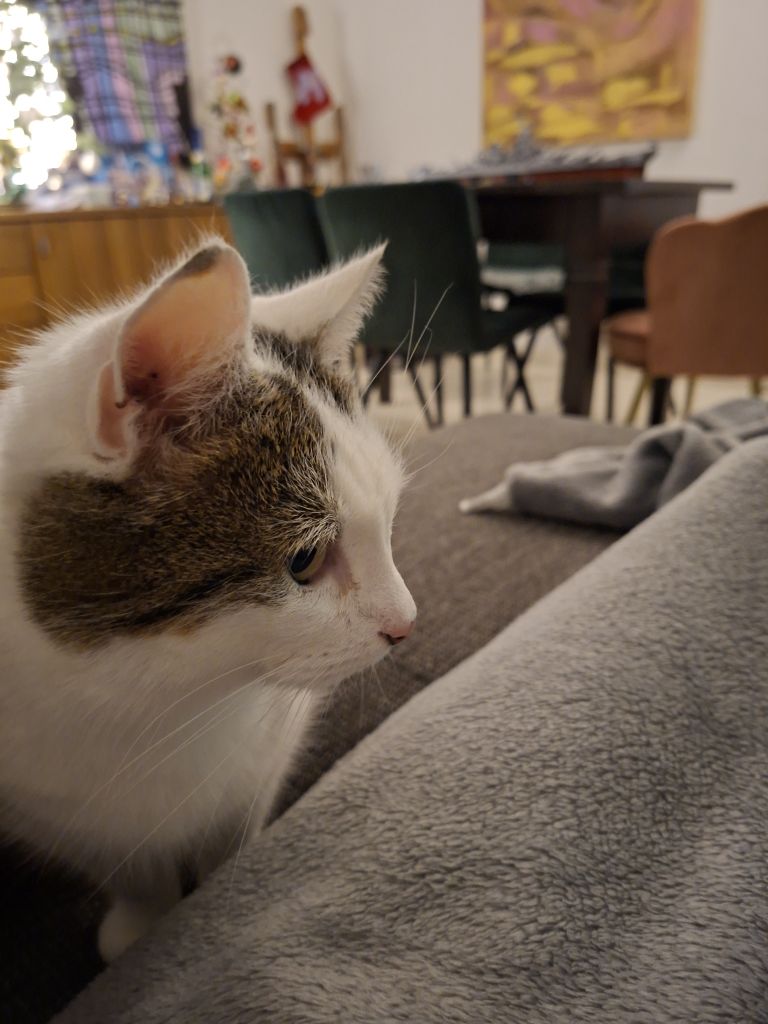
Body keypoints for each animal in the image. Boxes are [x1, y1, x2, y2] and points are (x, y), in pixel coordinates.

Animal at [0, 239, 416, 962]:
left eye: (389, 520)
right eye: (305, 560)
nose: (406, 624)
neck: (156, 700)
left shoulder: (264, 758)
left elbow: (233, 835)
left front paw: (220, 904)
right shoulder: (48, 807)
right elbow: (128, 867)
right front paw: (143, 925)